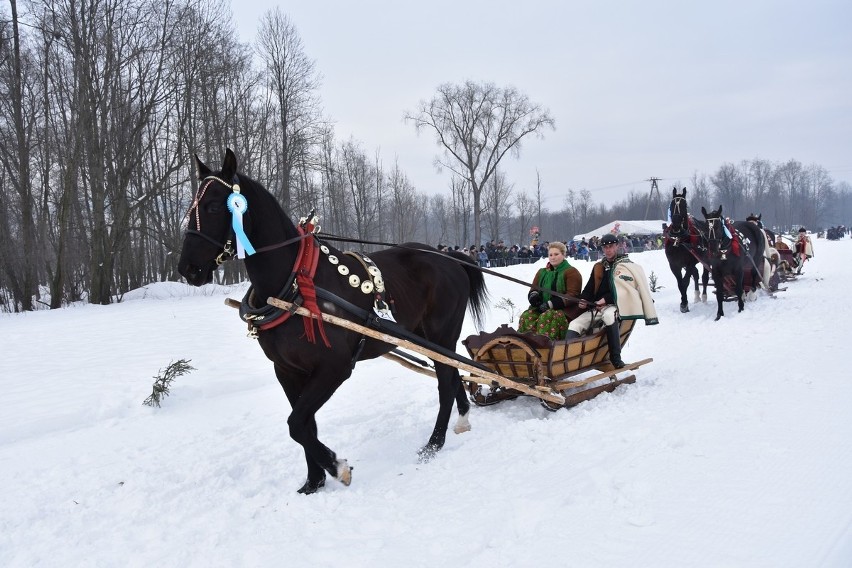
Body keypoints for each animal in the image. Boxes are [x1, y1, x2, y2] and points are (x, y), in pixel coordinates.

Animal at [176, 149, 490, 494]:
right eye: (192, 206)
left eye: (213, 206)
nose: (187, 268)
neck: (294, 283)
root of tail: (451, 258)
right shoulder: (287, 371)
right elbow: (304, 425)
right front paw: (314, 481)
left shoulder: (334, 368)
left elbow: (296, 424)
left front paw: (337, 467)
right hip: (428, 338)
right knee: (453, 374)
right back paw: (462, 420)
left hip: (441, 332)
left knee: (446, 382)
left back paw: (434, 443)